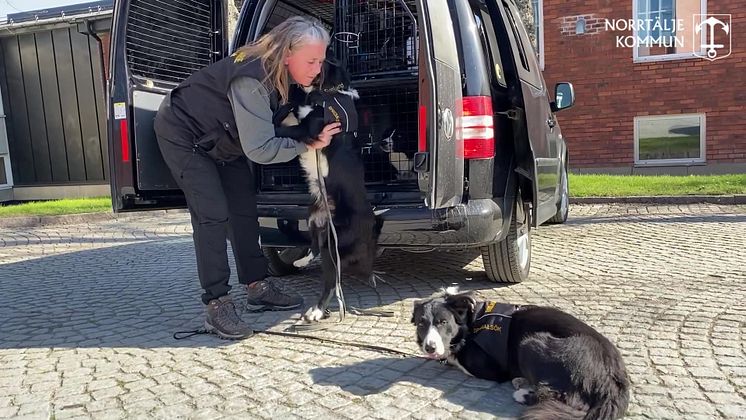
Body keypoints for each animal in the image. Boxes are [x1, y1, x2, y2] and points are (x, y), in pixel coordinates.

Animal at [410, 288, 624, 420]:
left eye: (443, 322)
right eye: (421, 323)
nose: (429, 348)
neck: (471, 322)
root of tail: (614, 375)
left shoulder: (491, 369)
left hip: (530, 343)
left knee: (571, 402)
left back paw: (523, 393)